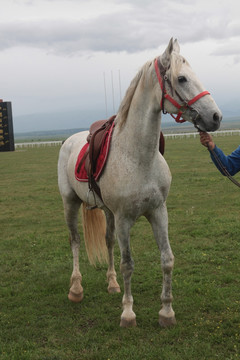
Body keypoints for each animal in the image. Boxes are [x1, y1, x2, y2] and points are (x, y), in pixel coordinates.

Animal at [57, 38, 221, 328]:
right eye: (181, 78)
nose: (215, 116)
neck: (138, 156)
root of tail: (69, 140)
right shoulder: (124, 219)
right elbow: (128, 264)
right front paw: (128, 313)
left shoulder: (158, 212)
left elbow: (167, 259)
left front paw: (166, 312)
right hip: (71, 203)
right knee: (75, 240)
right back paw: (76, 289)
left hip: (107, 212)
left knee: (108, 241)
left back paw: (112, 284)